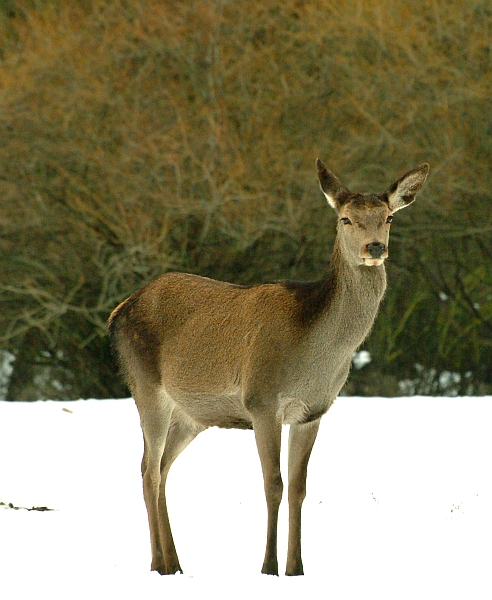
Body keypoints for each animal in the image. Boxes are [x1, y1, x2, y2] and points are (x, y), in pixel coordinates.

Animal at [107, 159, 426, 576]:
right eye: (345, 219)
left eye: (388, 217)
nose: (375, 247)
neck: (314, 355)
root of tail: (119, 310)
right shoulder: (262, 401)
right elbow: (273, 484)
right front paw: (268, 567)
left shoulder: (312, 412)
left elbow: (298, 488)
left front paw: (297, 567)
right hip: (145, 385)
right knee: (148, 470)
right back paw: (159, 563)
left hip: (191, 415)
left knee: (161, 467)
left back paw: (175, 562)